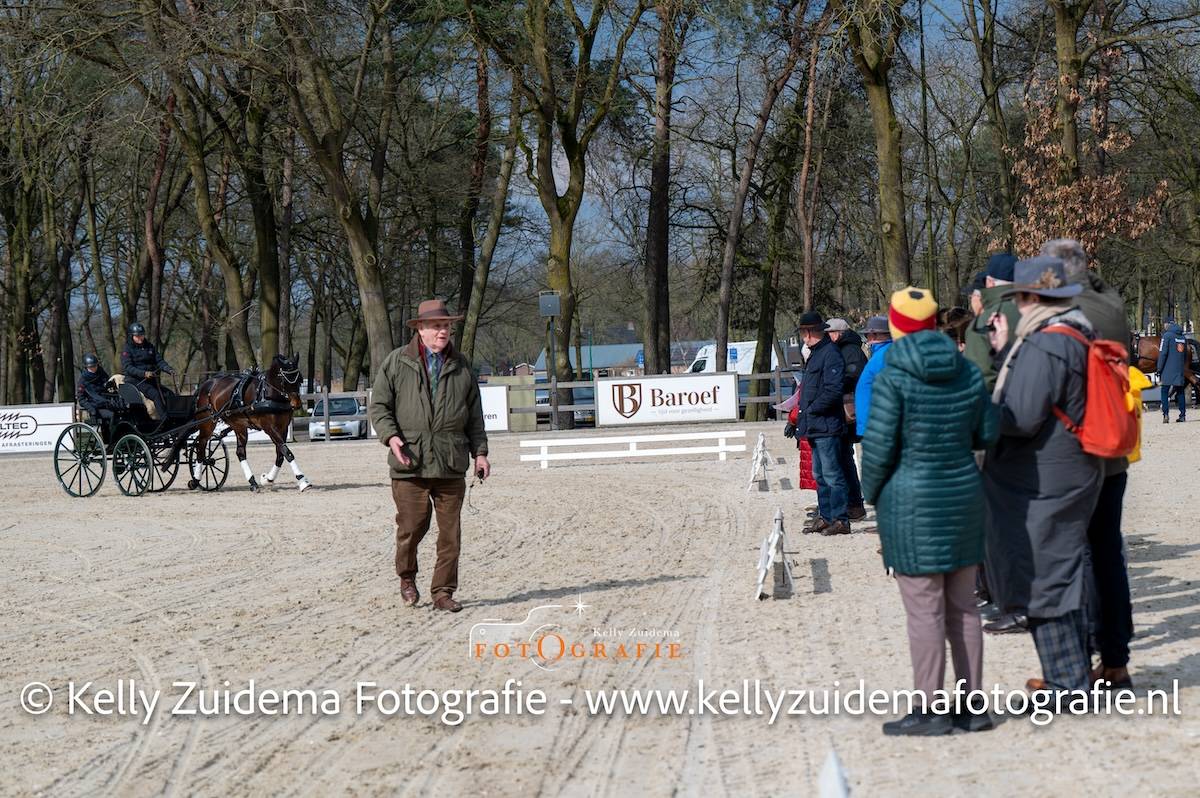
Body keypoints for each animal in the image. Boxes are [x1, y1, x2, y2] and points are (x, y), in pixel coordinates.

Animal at [189, 353, 311, 492]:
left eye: (300, 379)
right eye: (284, 381)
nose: (297, 404)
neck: (267, 394)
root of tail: (206, 384)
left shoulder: (283, 427)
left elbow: (281, 454)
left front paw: (267, 479)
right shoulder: (269, 428)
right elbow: (287, 452)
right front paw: (303, 481)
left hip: (239, 426)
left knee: (240, 452)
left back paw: (252, 482)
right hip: (207, 423)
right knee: (201, 447)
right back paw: (195, 480)